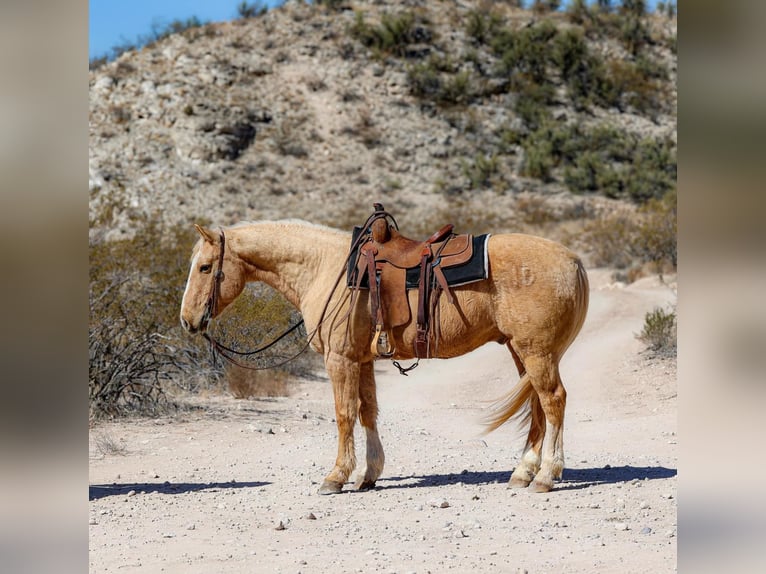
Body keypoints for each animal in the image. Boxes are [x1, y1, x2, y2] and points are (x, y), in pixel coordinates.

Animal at [180, 219, 589, 494]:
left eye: (204, 267)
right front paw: (368, 475)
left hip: (537, 352)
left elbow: (345, 414)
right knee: (537, 404)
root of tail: (573, 260)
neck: (325, 269)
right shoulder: (361, 360)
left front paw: (336, 477)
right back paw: (523, 473)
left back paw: (547, 476)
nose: (187, 320)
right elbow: (367, 411)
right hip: (523, 352)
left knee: (553, 401)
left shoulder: (340, 359)